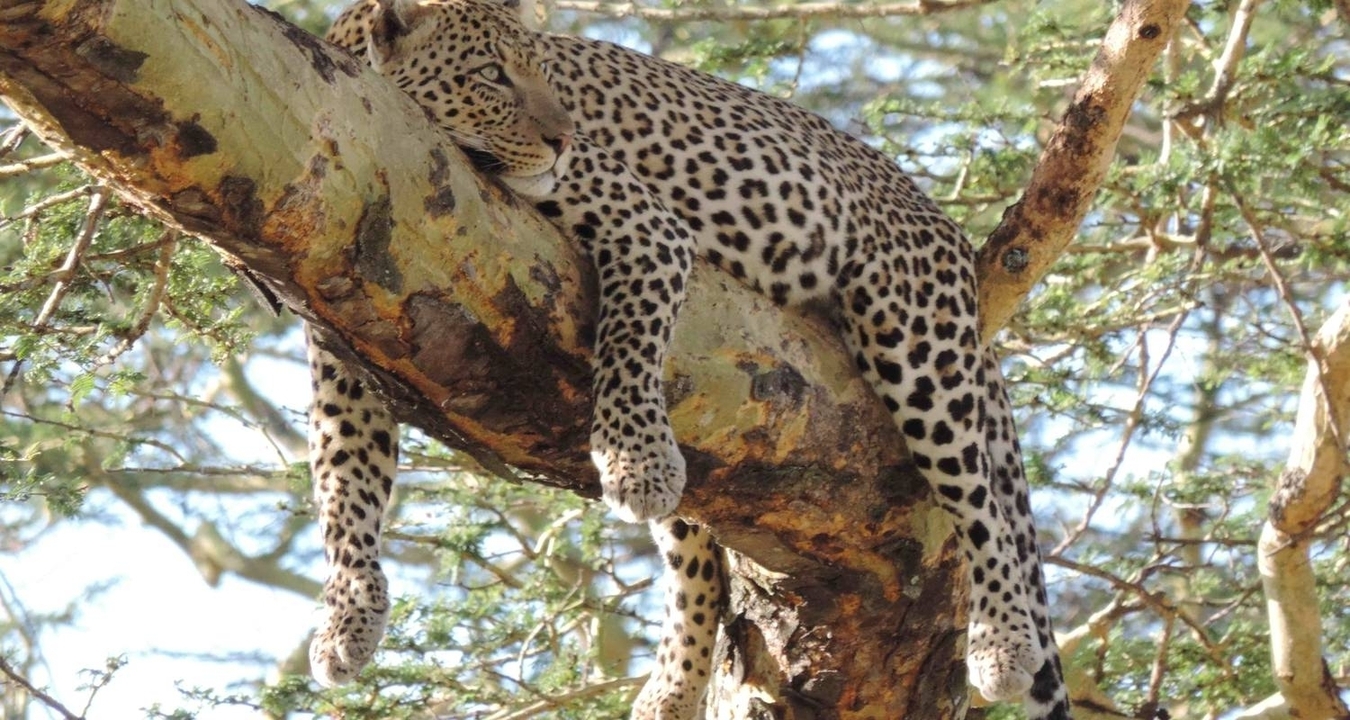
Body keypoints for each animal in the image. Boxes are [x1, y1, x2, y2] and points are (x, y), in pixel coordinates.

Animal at [306, 1, 1071, 718]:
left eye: (544, 72)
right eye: (491, 76)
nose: (563, 139)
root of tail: (935, 215)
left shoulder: (649, 228)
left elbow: (629, 341)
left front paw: (633, 456)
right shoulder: (346, 307)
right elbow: (344, 477)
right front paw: (347, 616)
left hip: (914, 337)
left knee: (980, 500)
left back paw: (1004, 641)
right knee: (696, 555)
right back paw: (673, 687)